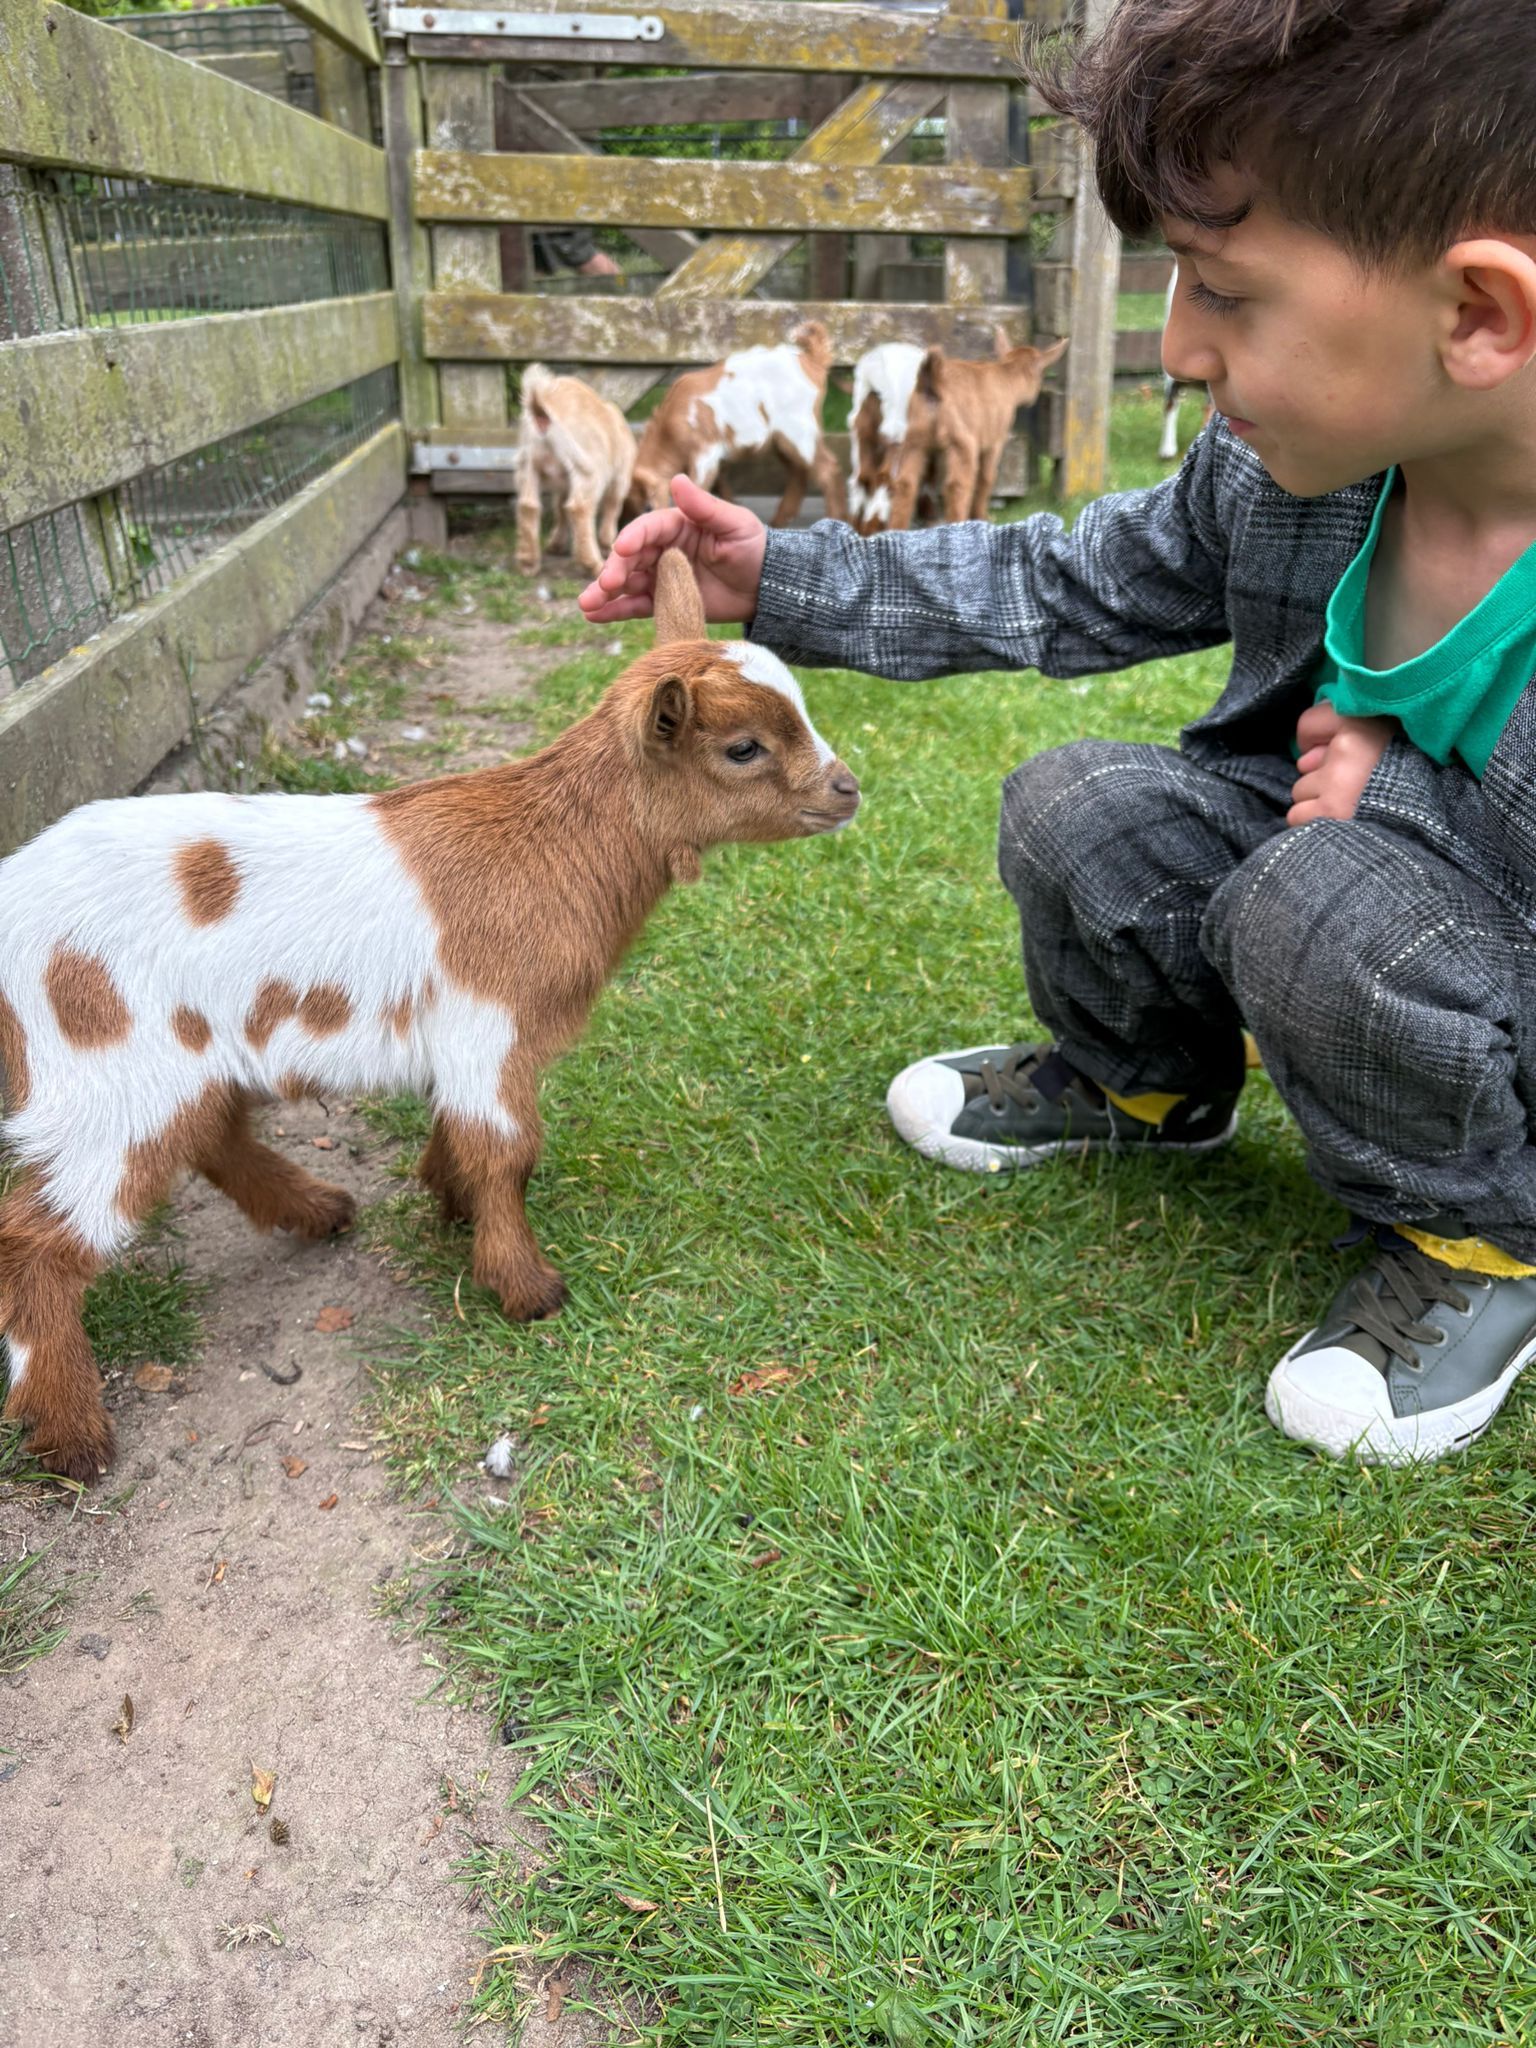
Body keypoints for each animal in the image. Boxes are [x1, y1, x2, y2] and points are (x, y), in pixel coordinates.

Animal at [0, 553, 860, 1482]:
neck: (552, 842)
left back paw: (317, 1209)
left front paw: (449, 1202)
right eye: (744, 748)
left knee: (209, 1135)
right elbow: (507, 1147)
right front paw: (525, 1287)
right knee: (38, 1240)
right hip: (108, 1068)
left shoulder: (472, 1040)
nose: (848, 790)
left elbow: (465, 1132)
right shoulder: (489, 1024)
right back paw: (70, 1435)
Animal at [515, 364, 636, 578]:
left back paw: (528, 563)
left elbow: (560, 507)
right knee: (580, 508)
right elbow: (612, 505)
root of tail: (541, 410)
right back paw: (593, 564)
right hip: (588, 467)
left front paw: (556, 544)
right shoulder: (620, 475)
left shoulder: (564, 482)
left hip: (527, 464)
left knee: (528, 505)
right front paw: (608, 544)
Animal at [630, 321, 847, 527]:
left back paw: (836, 518)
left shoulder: (705, 452)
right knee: (798, 471)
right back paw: (780, 519)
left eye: (648, 508)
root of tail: (813, 361)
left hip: (798, 430)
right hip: (781, 439)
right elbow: (720, 482)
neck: (668, 429)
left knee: (829, 469)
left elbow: (698, 484)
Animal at [849, 330, 1068, 534]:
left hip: (912, 440)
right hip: (961, 441)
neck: (1006, 376)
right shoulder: (994, 440)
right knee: (956, 486)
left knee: (902, 484)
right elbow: (987, 477)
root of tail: (932, 382)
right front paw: (982, 516)